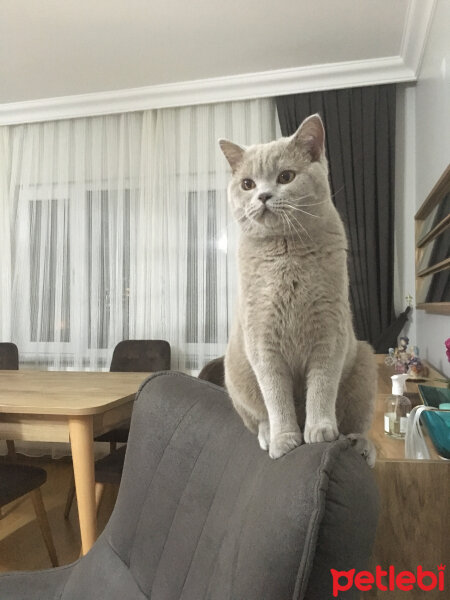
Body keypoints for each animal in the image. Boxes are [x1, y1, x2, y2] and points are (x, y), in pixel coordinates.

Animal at [220, 113, 378, 464]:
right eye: (247, 184)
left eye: (286, 176)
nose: (263, 196)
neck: (286, 253)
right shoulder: (262, 341)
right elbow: (275, 397)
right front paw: (285, 440)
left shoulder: (330, 334)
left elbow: (322, 385)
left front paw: (319, 431)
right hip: (235, 372)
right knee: (258, 416)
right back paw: (268, 434)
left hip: (363, 364)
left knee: (356, 421)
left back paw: (359, 444)